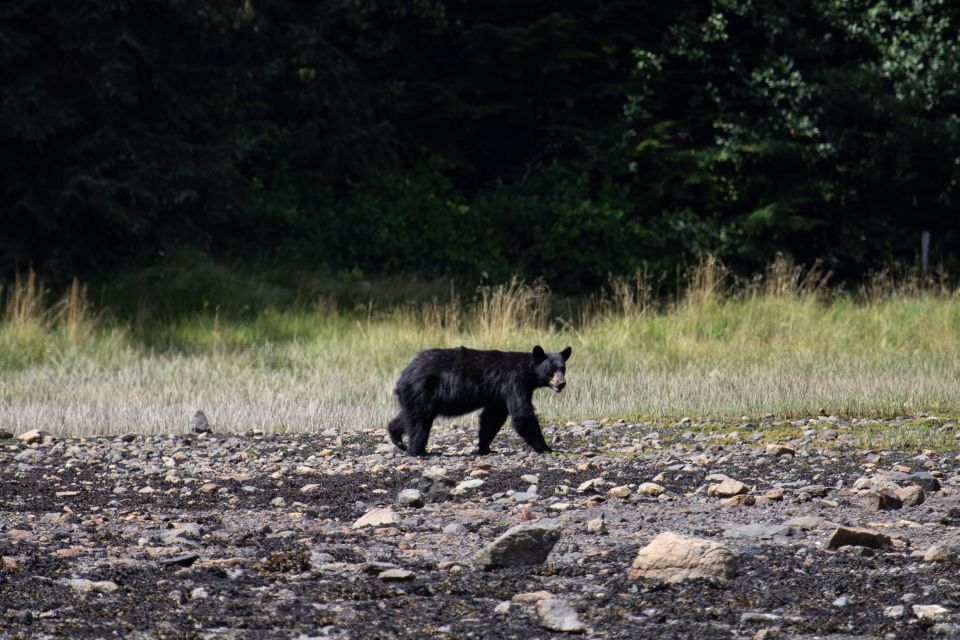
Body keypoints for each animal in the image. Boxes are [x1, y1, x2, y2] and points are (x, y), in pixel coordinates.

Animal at [388, 344, 568, 456]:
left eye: (563, 368)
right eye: (551, 369)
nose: (562, 383)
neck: (528, 373)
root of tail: (404, 375)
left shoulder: (498, 394)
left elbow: (492, 417)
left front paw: (485, 448)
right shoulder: (514, 382)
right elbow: (522, 414)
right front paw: (546, 448)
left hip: (416, 395)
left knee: (409, 416)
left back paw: (397, 438)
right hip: (422, 390)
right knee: (420, 420)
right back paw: (419, 451)